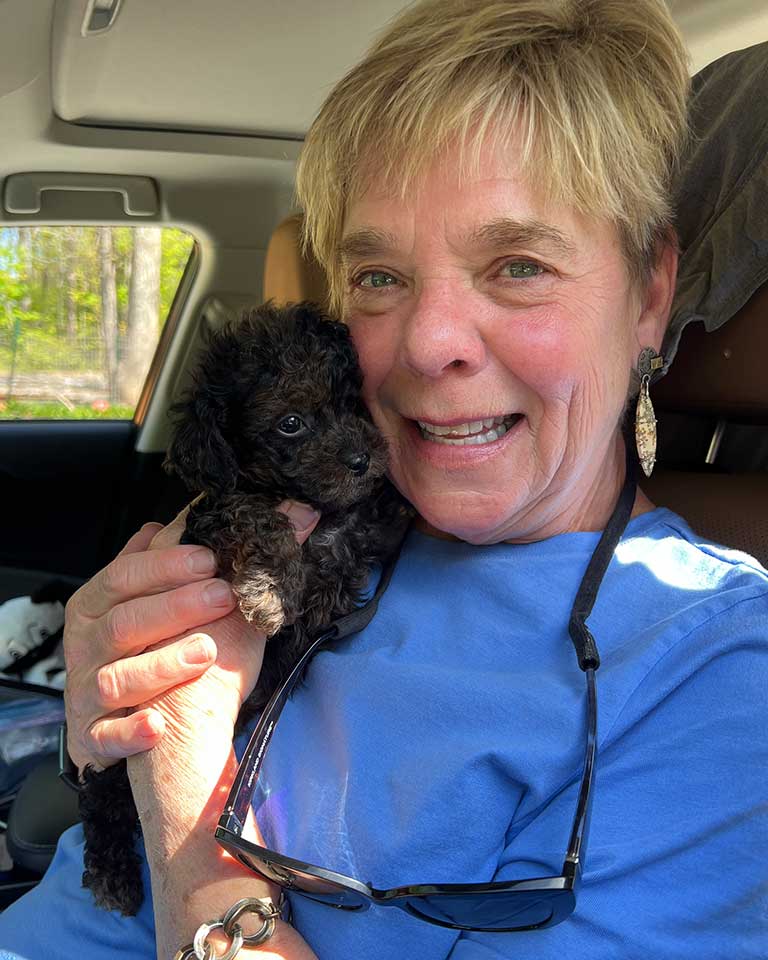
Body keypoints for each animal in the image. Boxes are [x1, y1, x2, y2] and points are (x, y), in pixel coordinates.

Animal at [80, 300, 412, 916]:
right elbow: (252, 513)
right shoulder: (213, 517)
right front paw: (271, 591)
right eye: (290, 423)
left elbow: (371, 518)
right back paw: (111, 870)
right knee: (100, 792)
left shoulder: (360, 528)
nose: (361, 458)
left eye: (351, 401)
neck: (314, 506)